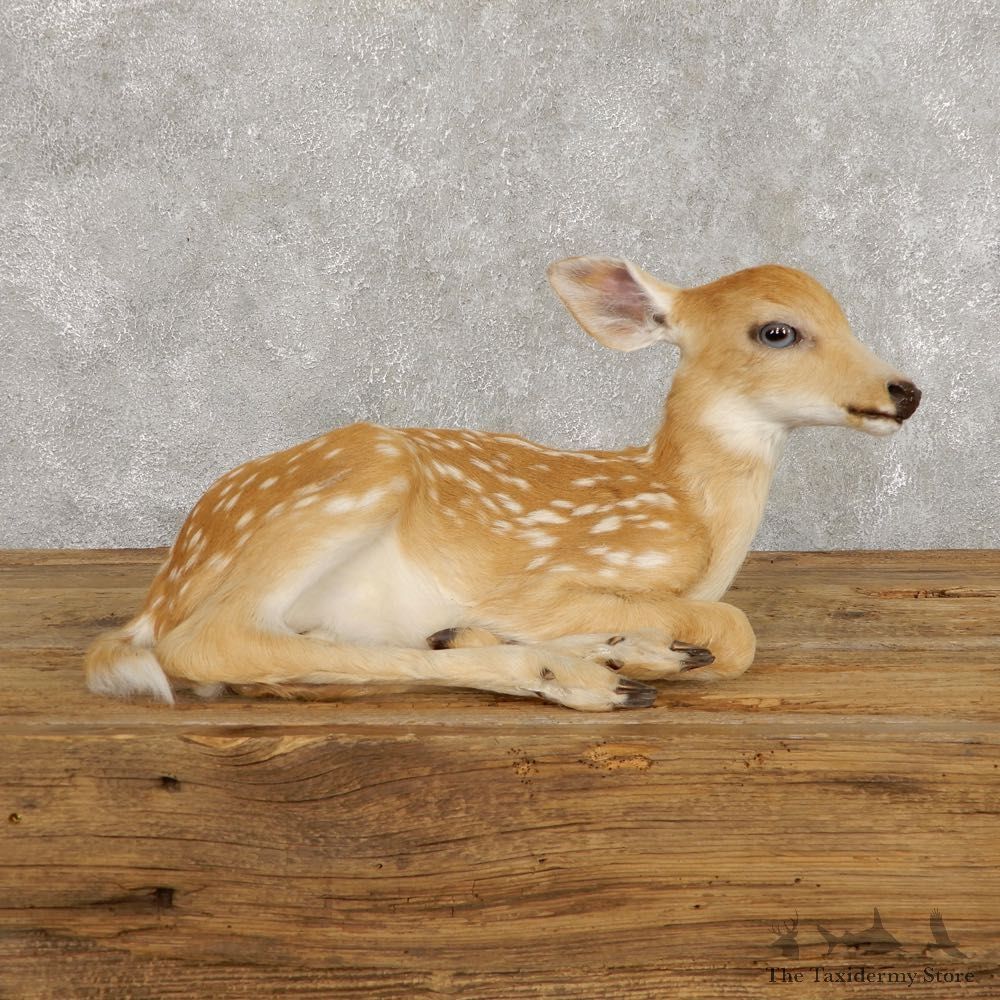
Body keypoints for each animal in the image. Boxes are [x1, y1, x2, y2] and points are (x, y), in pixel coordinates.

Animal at [84, 257, 921, 711]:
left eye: (846, 319)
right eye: (777, 331)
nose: (905, 391)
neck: (693, 511)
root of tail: (160, 591)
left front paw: (632, 644)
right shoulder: (554, 574)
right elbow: (735, 630)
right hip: (362, 476)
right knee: (212, 648)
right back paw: (587, 674)